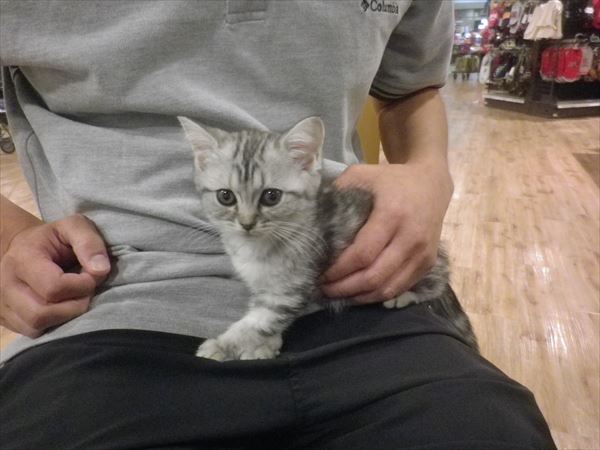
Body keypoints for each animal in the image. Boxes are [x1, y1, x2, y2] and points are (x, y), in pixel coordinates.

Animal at [178, 116, 478, 361]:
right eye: (225, 196)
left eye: (271, 196)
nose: (247, 223)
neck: (257, 248)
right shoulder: (266, 288)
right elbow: (264, 320)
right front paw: (266, 345)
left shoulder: (291, 288)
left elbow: (257, 323)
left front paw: (222, 345)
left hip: (423, 262)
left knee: (436, 282)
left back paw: (405, 295)